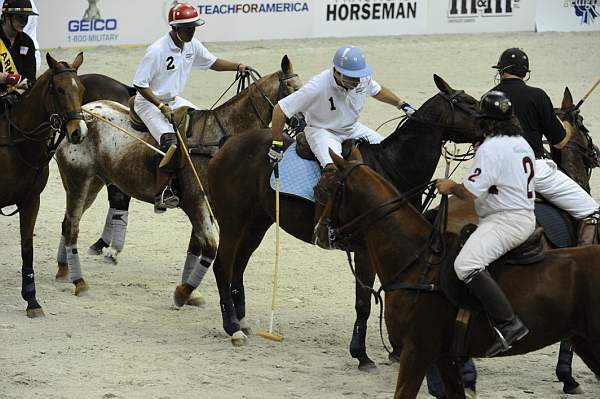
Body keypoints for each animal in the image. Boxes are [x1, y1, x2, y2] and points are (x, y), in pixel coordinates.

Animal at [0, 53, 88, 318]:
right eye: (59, 89)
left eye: (82, 89)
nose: (78, 132)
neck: (16, 144)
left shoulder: (31, 200)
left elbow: (27, 249)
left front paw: (32, 300)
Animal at [54, 57, 302, 322]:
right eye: (293, 90)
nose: (302, 125)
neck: (220, 139)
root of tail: (80, 118)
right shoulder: (195, 202)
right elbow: (210, 246)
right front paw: (183, 293)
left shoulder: (207, 204)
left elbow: (197, 247)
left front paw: (189, 293)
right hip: (78, 179)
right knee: (72, 226)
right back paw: (79, 282)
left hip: (95, 181)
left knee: (67, 221)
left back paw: (63, 269)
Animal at [207, 75, 482, 350]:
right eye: (470, 103)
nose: (494, 125)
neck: (393, 167)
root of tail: (227, 143)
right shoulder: (365, 250)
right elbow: (364, 302)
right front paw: (361, 349)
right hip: (232, 222)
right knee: (222, 265)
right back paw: (232, 327)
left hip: (257, 222)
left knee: (239, 264)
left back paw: (241, 320)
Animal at [326, 149, 600, 399]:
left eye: (327, 189)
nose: (323, 232)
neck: (416, 261)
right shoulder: (440, 355)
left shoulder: (418, 350)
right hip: (585, 341)